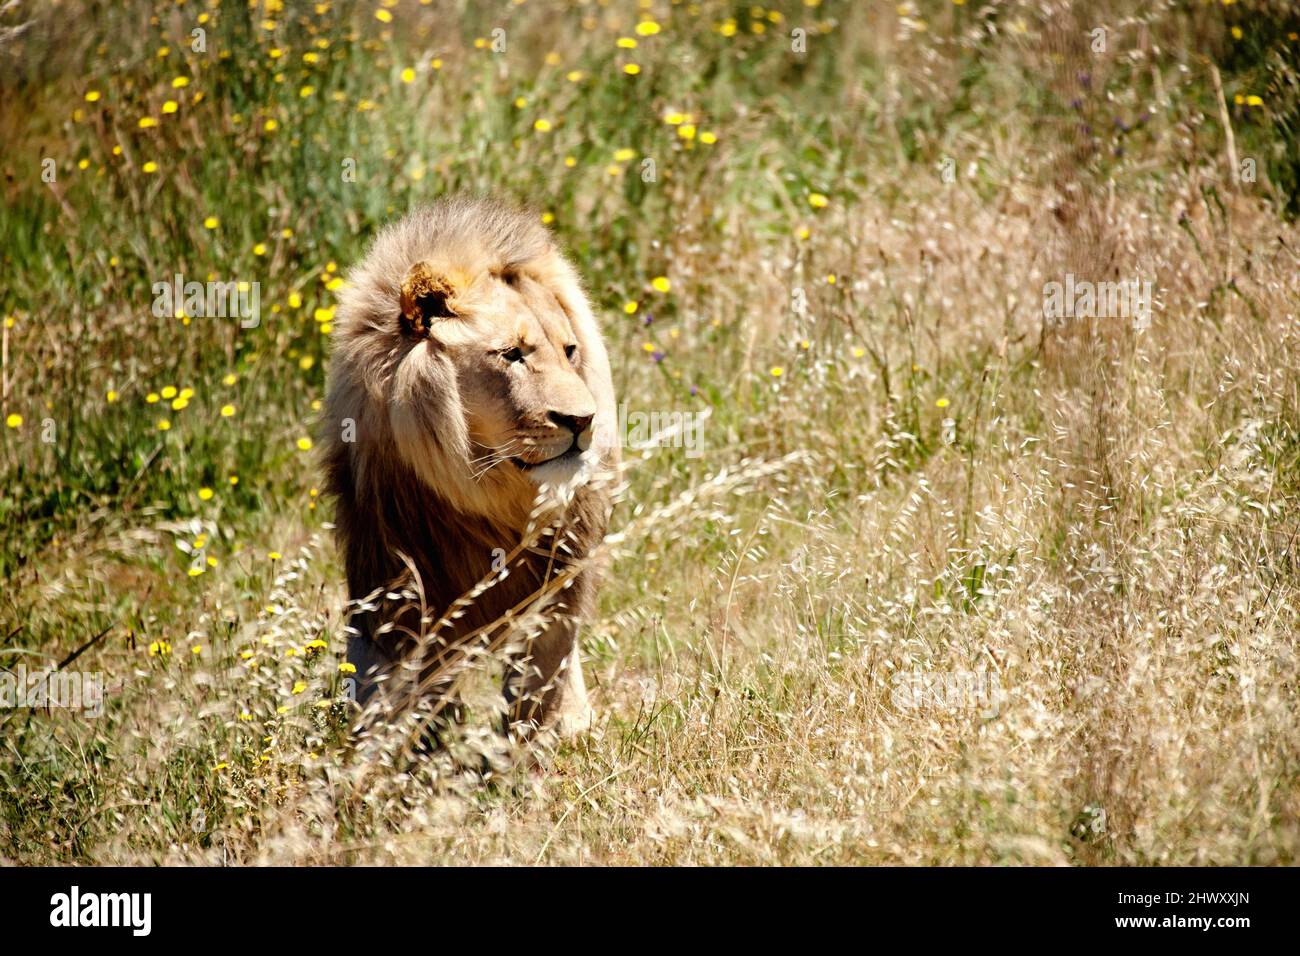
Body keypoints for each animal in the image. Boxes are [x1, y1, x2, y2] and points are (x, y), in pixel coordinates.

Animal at [317, 195, 616, 743]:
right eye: (511, 354)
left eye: (569, 351)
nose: (582, 420)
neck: (489, 497)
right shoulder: (392, 568)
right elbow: (393, 677)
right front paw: (399, 742)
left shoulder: (561, 572)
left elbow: (544, 670)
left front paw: (536, 736)